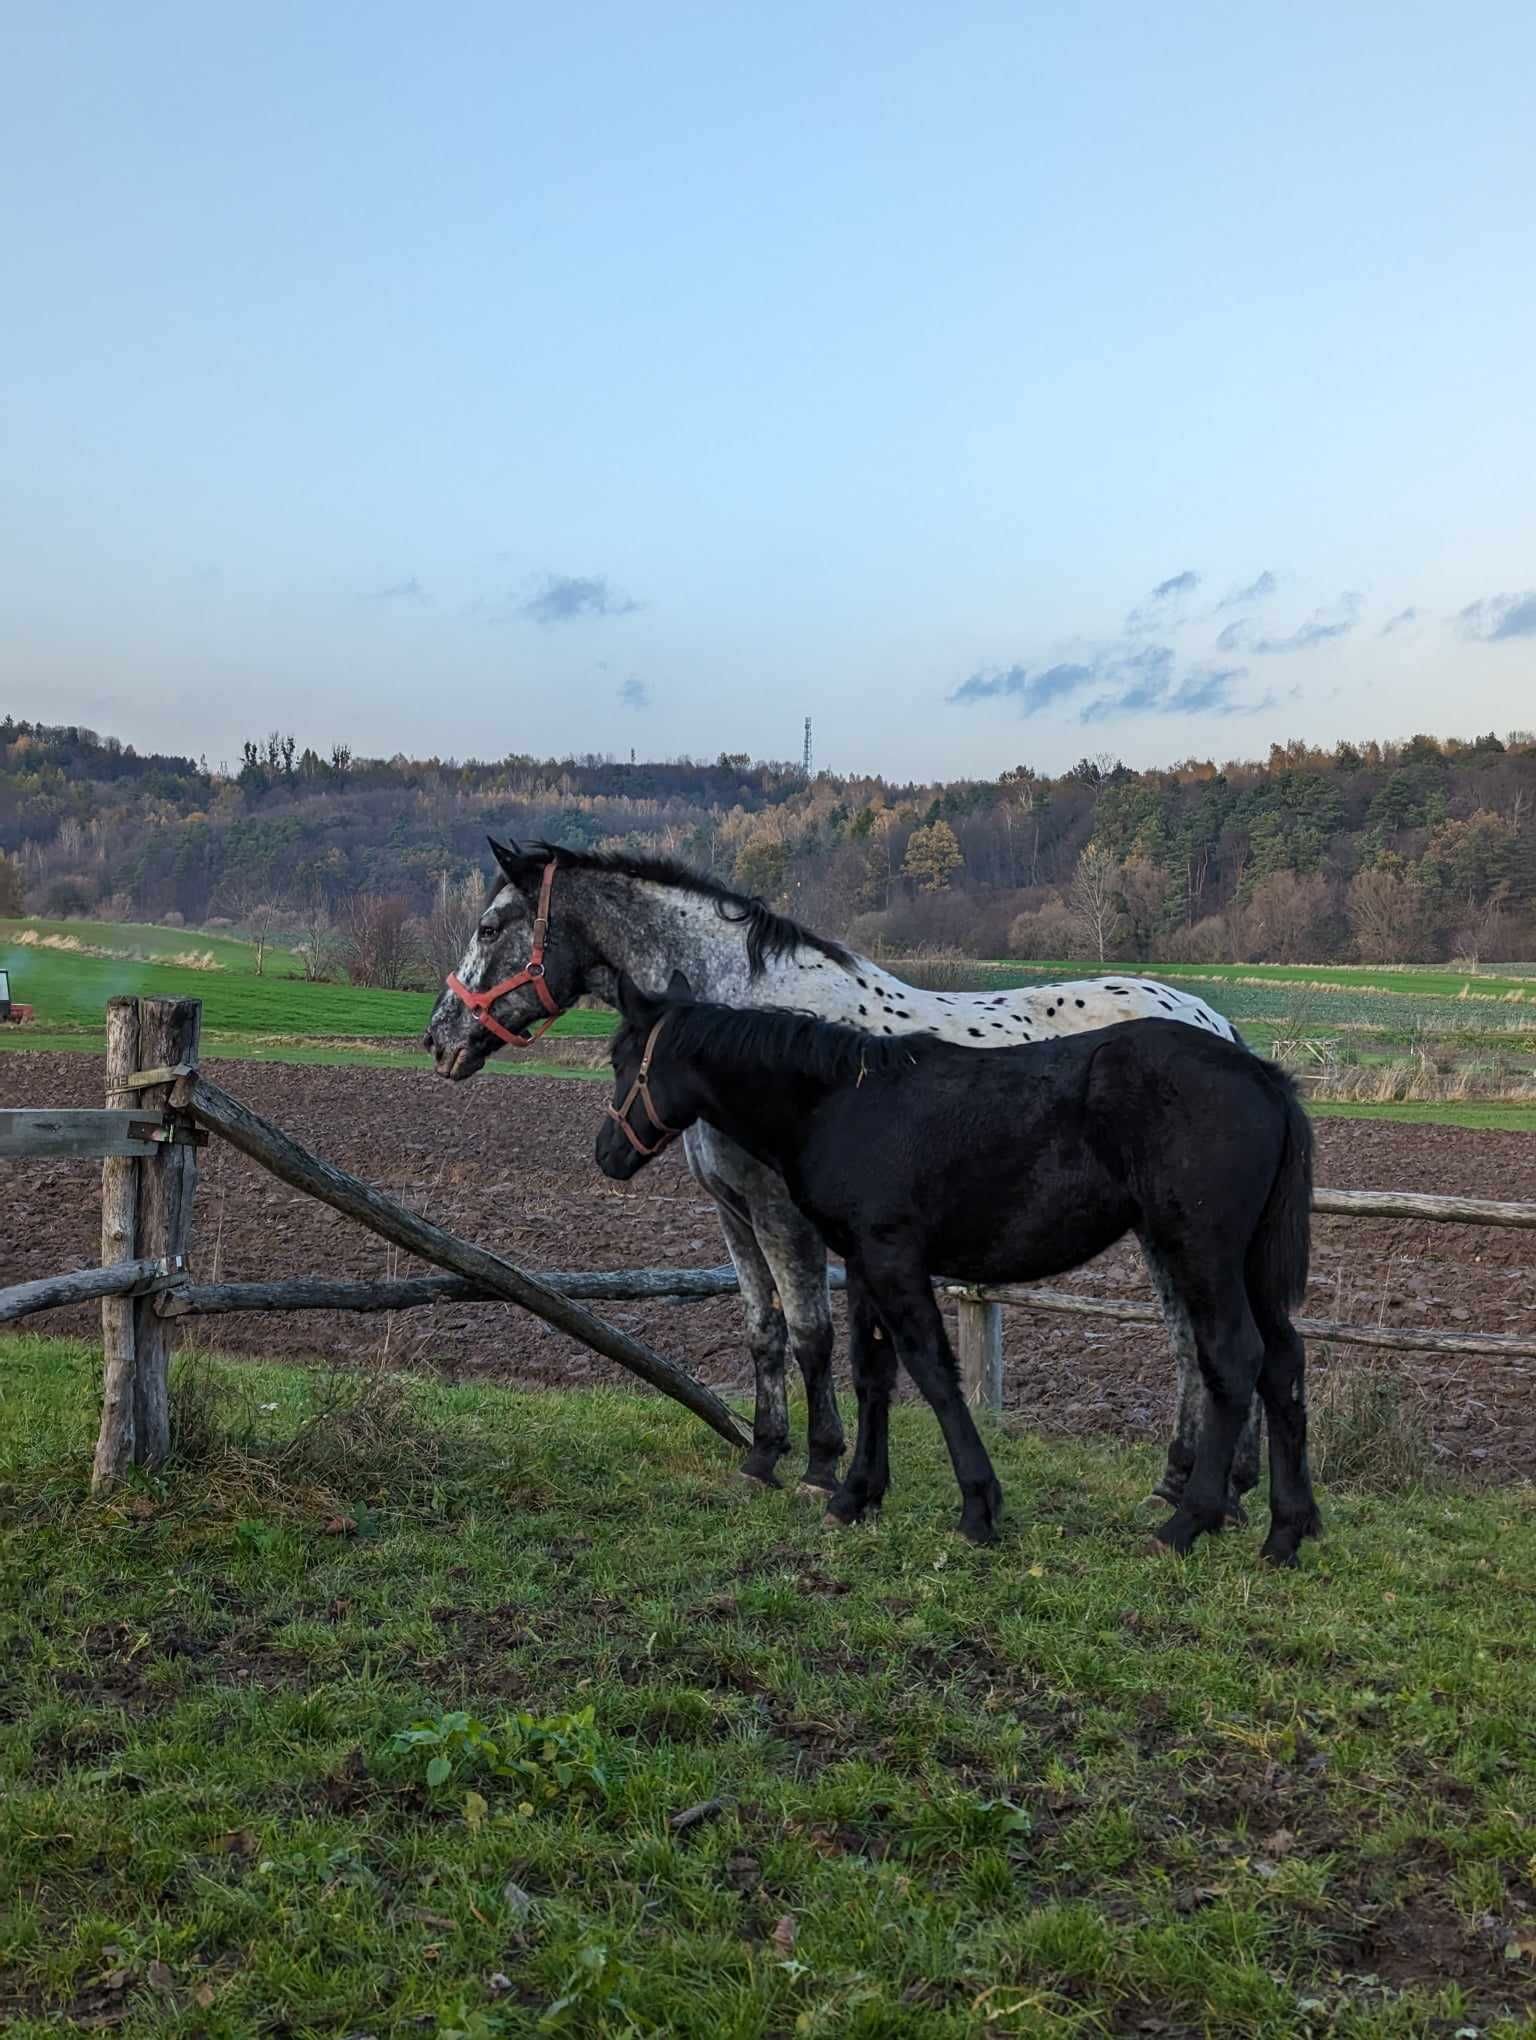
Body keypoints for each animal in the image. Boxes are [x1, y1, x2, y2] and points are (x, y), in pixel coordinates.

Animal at [426, 840, 1264, 1517]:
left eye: (490, 928)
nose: (439, 1040)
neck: (754, 1013)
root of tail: (1216, 1027)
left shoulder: (784, 1215)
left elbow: (811, 1335)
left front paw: (821, 1468)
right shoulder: (733, 1213)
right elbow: (762, 1333)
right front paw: (762, 1457)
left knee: (1196, 1342)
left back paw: (1196, 1488)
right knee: (1203, 1342)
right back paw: (1206, 1486)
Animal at [595, 971, 1321, 1558]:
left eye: (622, 1057)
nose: (606, 1153)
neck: (841, 1102)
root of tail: (1262, 1075)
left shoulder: (894, 1258)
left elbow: (933, 1372)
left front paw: (977, 1507)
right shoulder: (861, 1262)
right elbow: (873, 1373)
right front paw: (855, 1496)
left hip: (1202, 1252)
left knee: (1231, 1360)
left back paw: (1186, 1523)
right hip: (1247, 1261)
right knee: (1282, 1361)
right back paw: (1286, 1533)